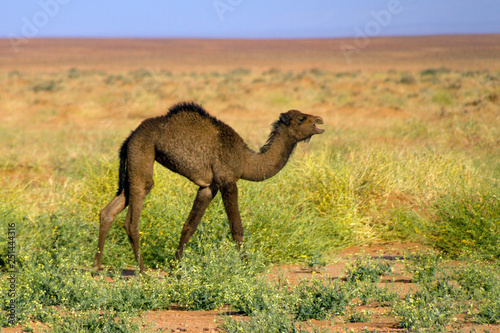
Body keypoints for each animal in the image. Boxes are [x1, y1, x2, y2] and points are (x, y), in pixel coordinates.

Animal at [95, 102, 326, 272]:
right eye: (301, 118)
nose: (320, 120)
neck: (245, 160)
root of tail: (129, 137)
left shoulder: (209, 187)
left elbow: (189, 226)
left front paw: (176, 266)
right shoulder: (228, 181)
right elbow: (237, 228)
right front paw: (247, 268)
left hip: (132, 163)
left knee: (109, 211)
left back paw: (96, 268)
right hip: (142, 153)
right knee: (133, 216)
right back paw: (142, 271)